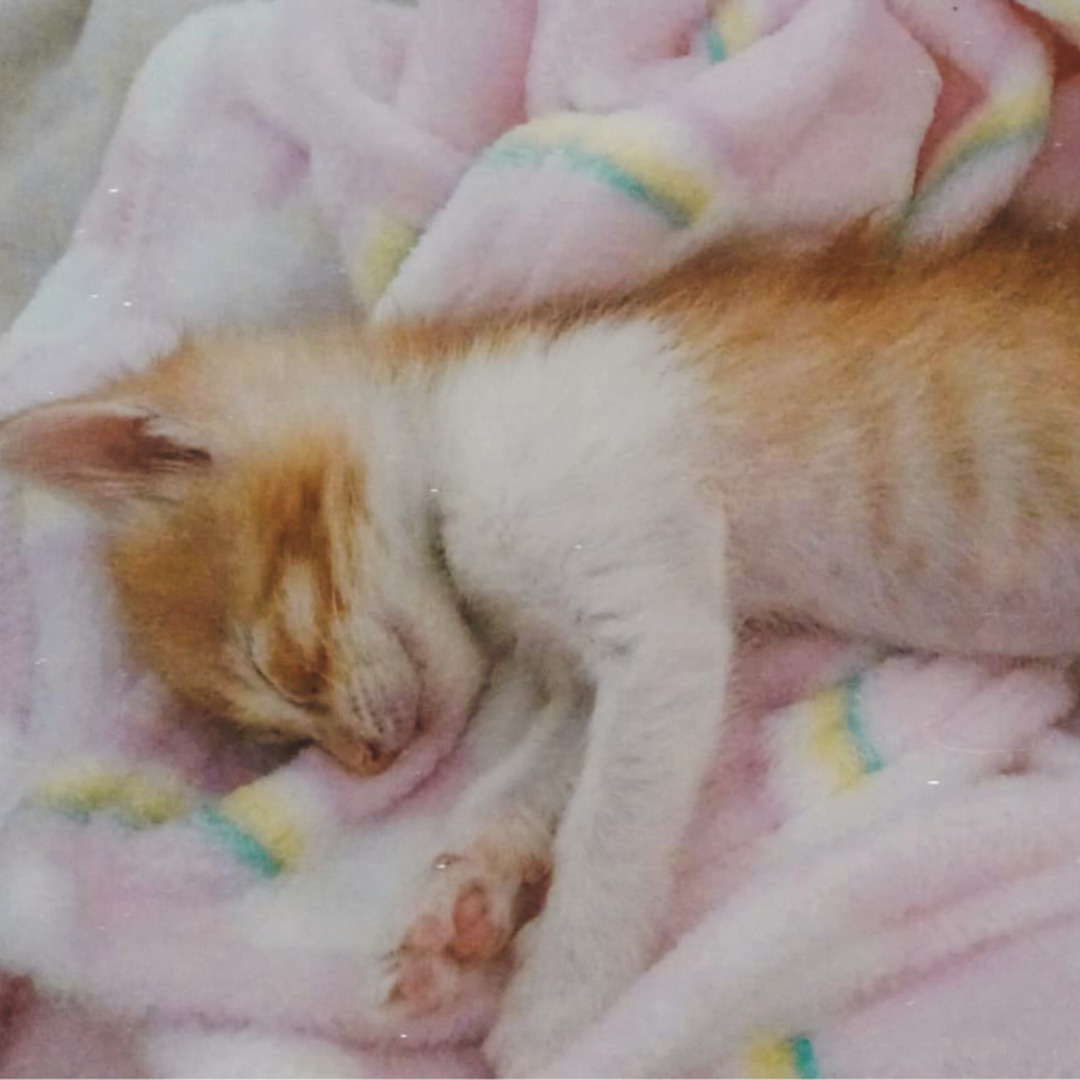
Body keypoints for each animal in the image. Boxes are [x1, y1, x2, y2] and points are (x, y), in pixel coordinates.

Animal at [4, 222, 1080, 1073]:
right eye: (279, 744)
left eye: (280, 667)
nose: (367, 759)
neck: (446, 425)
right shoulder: (581, 672)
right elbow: (521, 782)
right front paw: (461, 902)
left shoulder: (657, 621)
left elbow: (609, 828)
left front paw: (561, 1008)